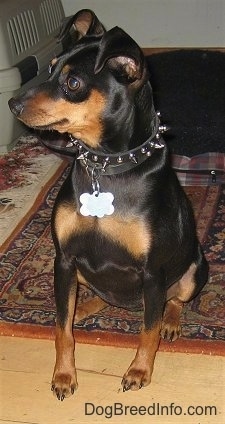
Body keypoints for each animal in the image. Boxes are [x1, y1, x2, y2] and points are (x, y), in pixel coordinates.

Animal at [9, 9, 209, 400]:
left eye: (73, 83)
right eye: (51, 68)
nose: (12, 104)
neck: (106, 168)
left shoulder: (152, 272)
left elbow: (147, 331)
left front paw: (139, 371)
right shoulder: (64, 259)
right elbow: (61, 330)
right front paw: (64, 375)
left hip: (194, 268)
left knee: (173, 301)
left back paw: (171, 323)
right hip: (80, 273)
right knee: (99, 297)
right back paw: (83, 307)